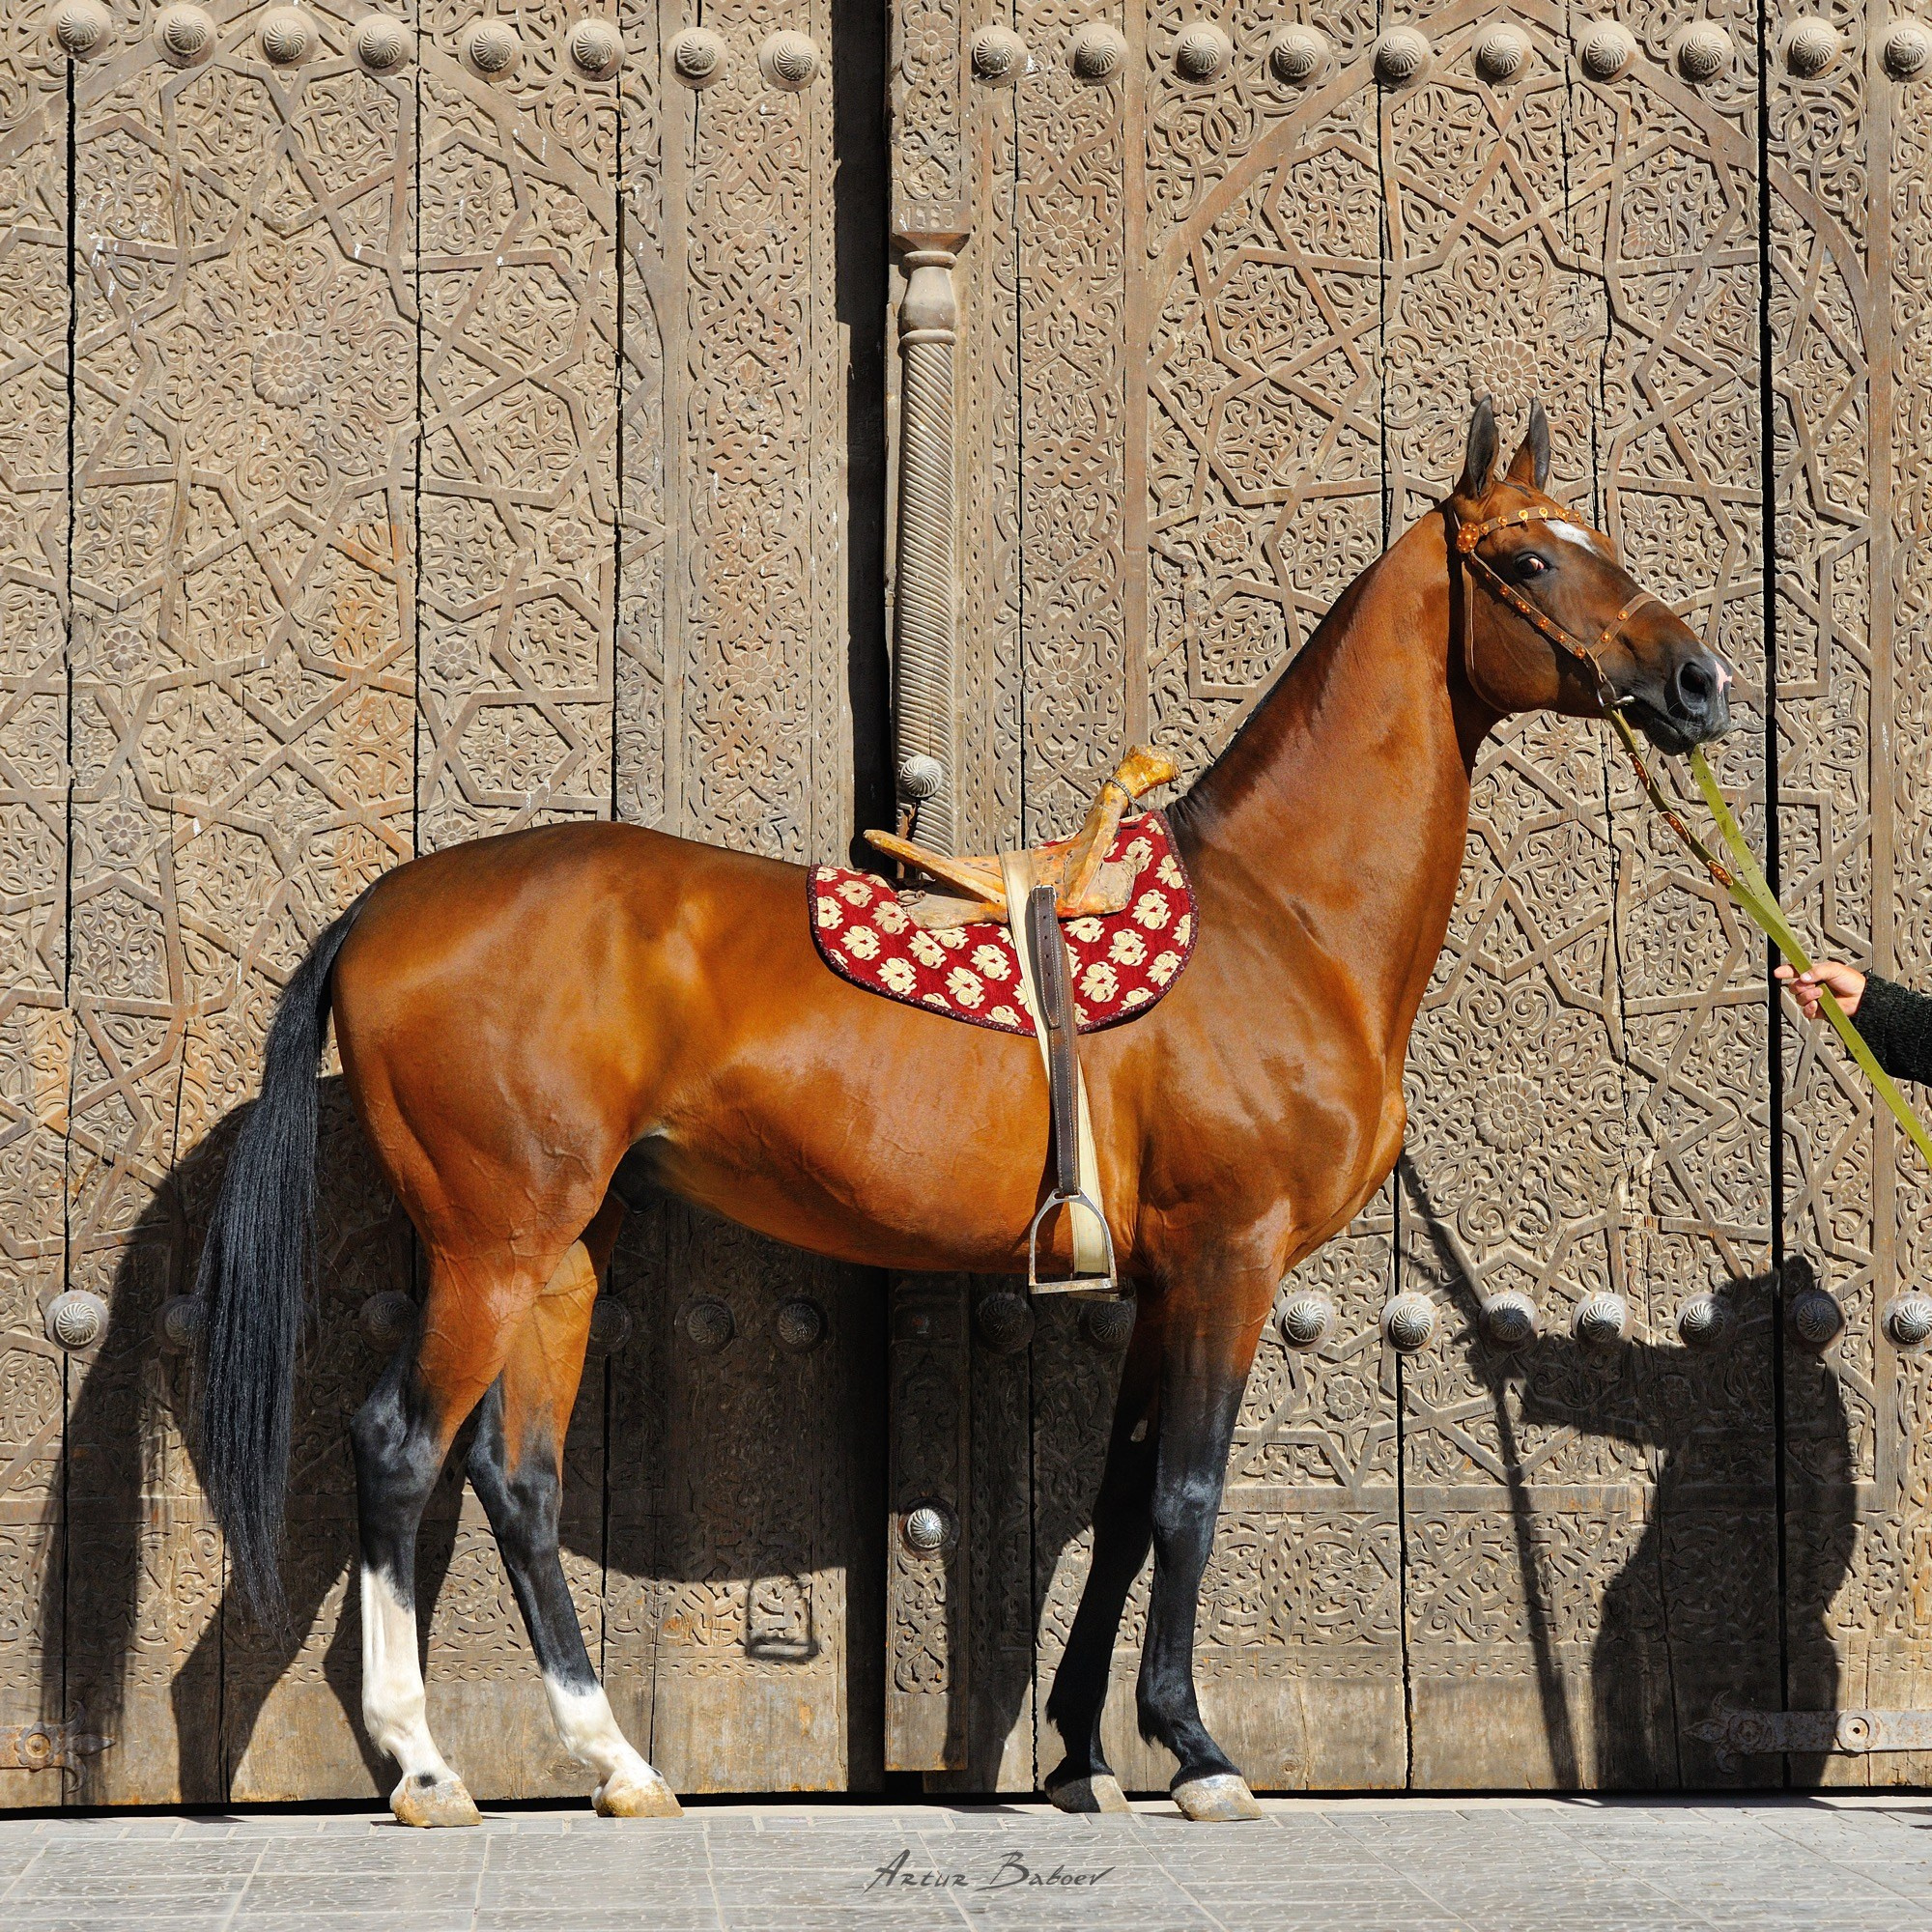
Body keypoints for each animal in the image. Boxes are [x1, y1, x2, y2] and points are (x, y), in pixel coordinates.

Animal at [194, 397, 1733, 1826]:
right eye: (1526, 558)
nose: (1700, 681)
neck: (1279, 921)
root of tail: (388, 905)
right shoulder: (1229, 1261)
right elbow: (1188, 1498)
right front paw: (1194, 1750)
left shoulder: (1158, 1285)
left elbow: (1118, 1504)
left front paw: (1081, 1754)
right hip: (493, 1247)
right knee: (400, 1450)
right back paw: (424, 1767)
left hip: (562, 1253)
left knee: (517, 1478)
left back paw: (618, 1764)